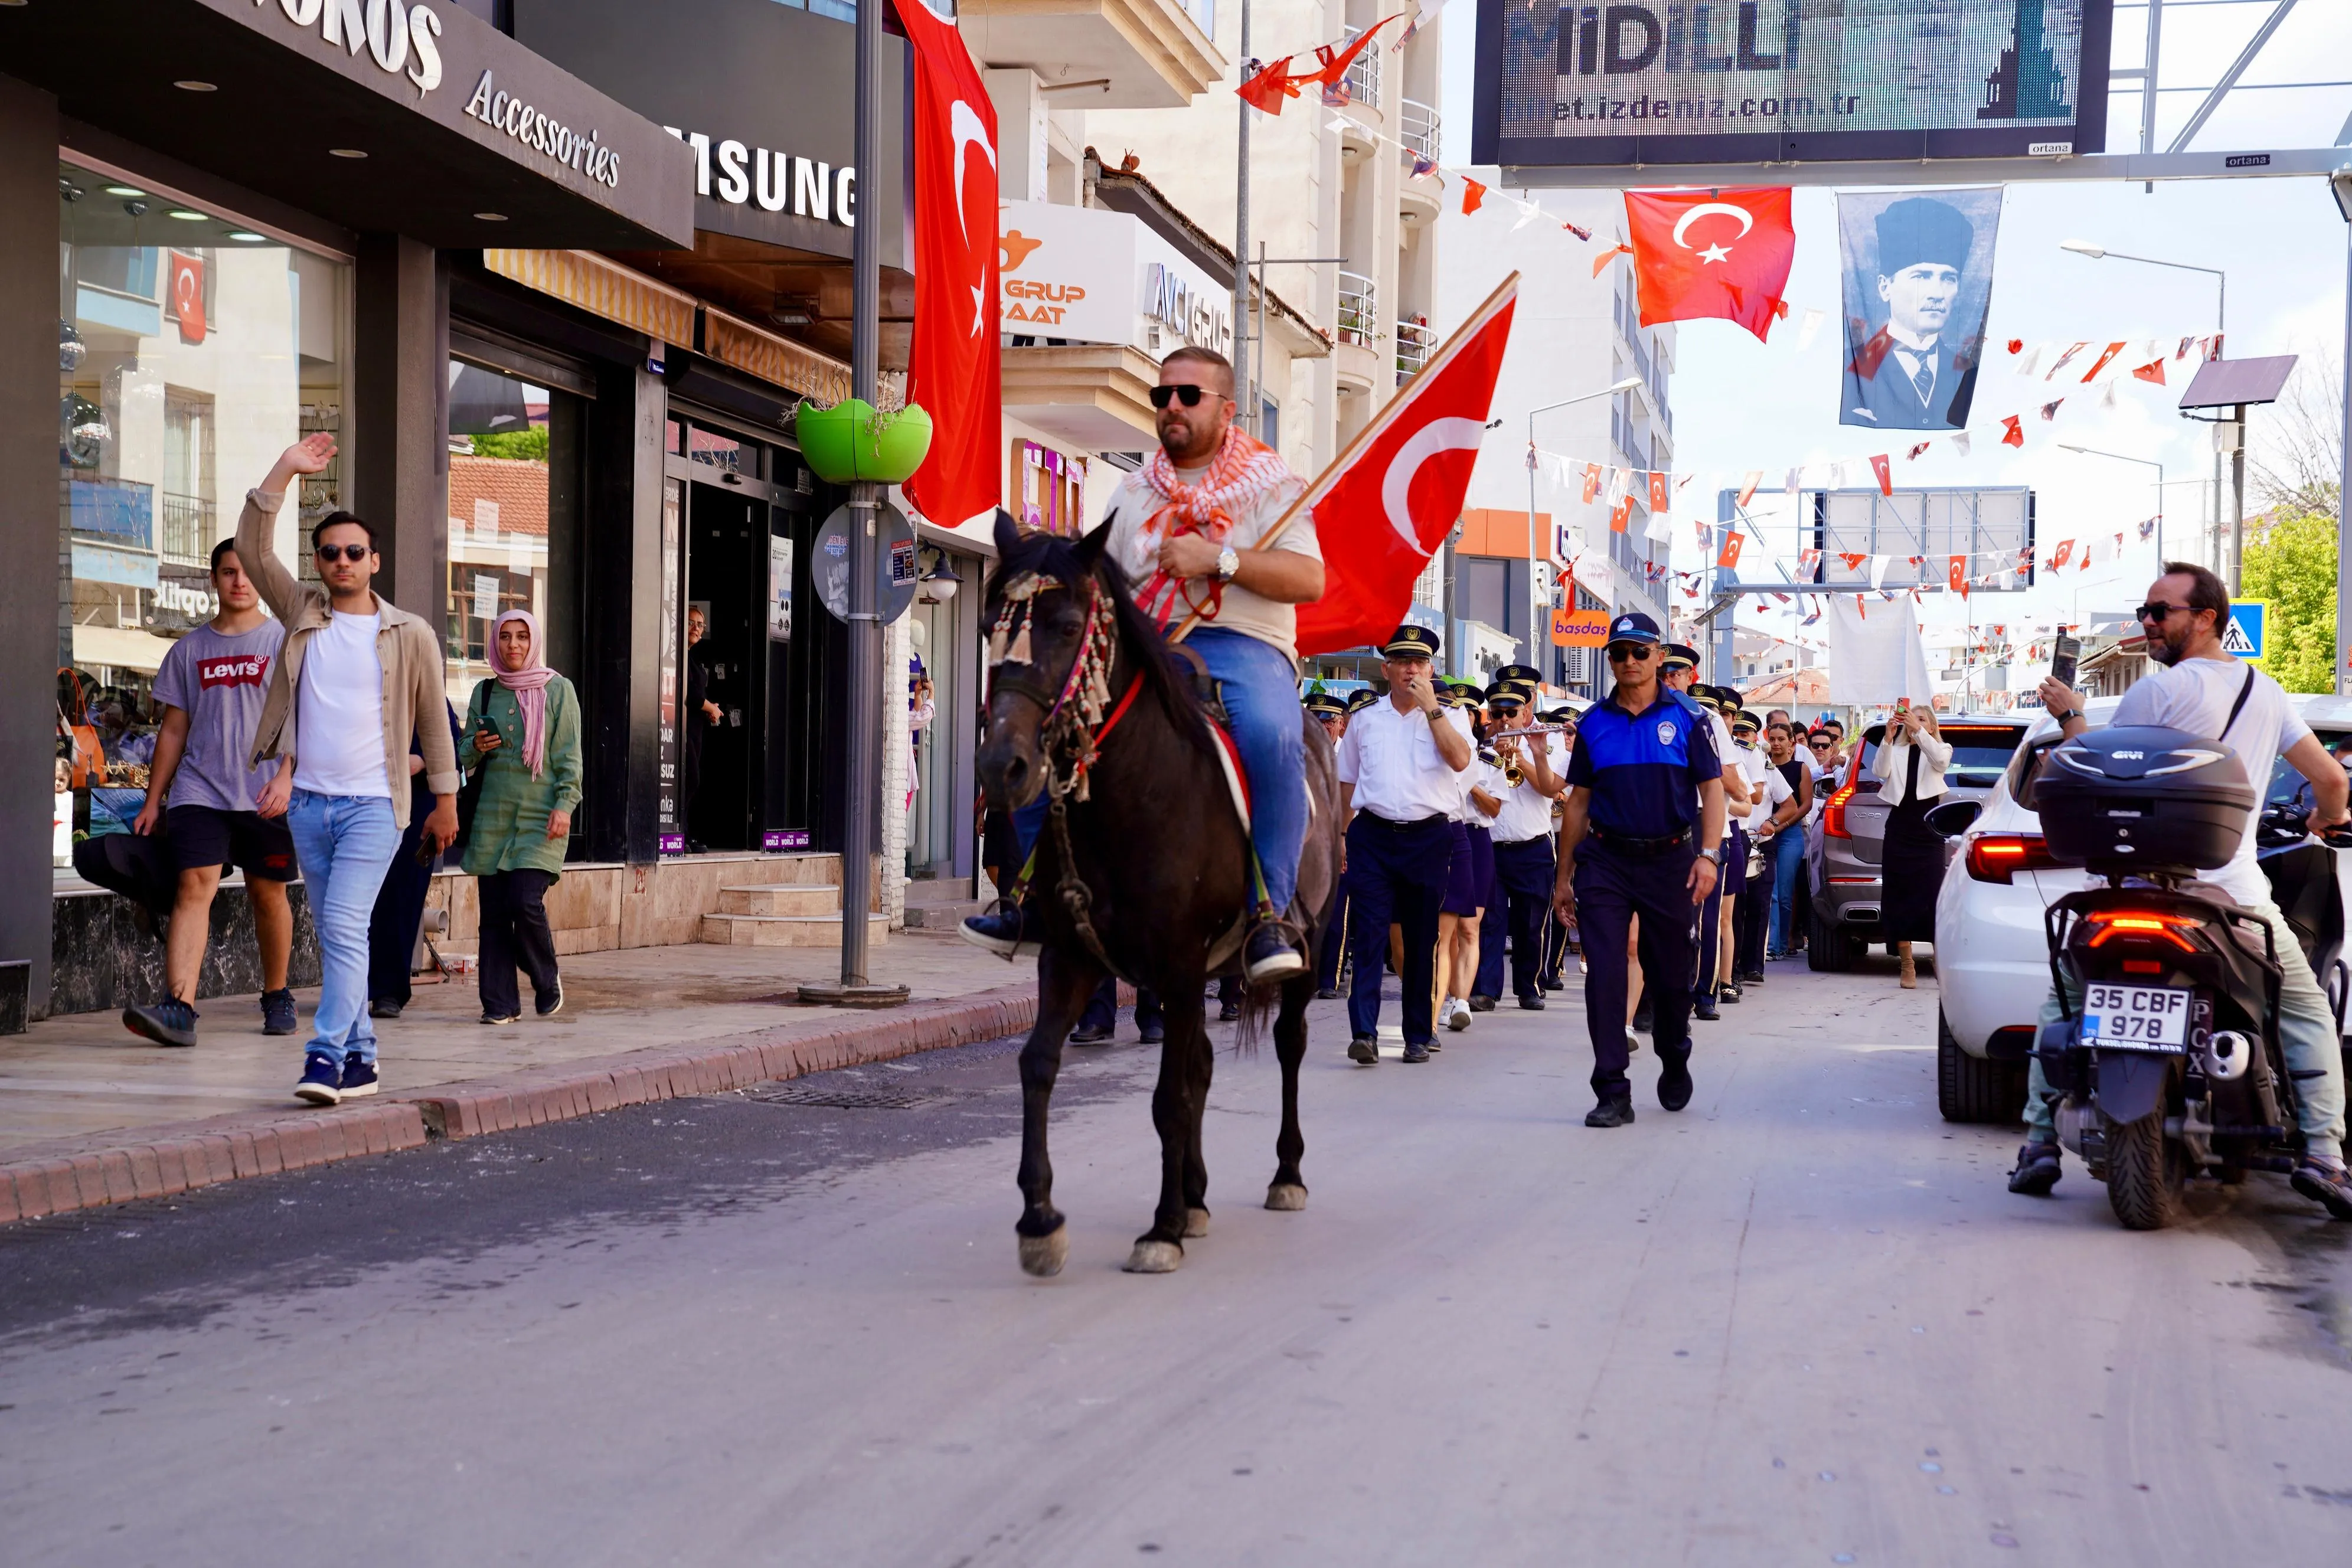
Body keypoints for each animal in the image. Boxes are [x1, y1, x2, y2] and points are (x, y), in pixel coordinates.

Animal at [974, 515, 1345, 1279]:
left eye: (1066, 626)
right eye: (994, 625)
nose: (1003, 767)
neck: (1130, 794)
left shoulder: (1176, 961)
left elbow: (1169, 1095)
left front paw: (1163, 1228)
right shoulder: (1070, 957)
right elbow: (1038, 1065)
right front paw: (1040, 1220)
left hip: (1310, 942)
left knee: (1288, 1045)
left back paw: (1284, 1176)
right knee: (1200, 1060)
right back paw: (1198, 1196)